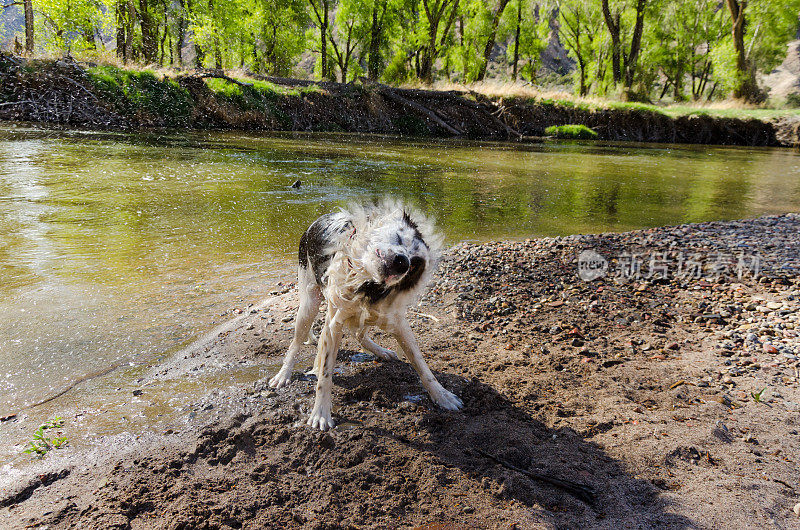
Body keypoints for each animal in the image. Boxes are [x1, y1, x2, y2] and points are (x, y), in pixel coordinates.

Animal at [268, 200, 462, 426]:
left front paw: (442, 395)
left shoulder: (397, 321)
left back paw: (381, 351)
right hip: (308, 304)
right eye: (399, 238)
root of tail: (315, 223)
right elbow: (325, 374)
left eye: (414, 265)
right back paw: (283, 375)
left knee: (359, 334)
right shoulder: (334, 324)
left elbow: (421, 364)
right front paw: (321, 413)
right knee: (295, 343)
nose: (402, 262)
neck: (366, 282)